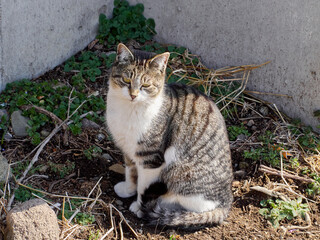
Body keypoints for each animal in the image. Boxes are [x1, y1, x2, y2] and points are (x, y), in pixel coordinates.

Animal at [106, 43, 234, 227]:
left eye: (145, 85)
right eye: (127, 80)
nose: (133, 95)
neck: (129, 110)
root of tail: (227, 202)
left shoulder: (150, 159)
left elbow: (143, 186)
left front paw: (139, 206)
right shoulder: (128, 149)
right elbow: (130, 173)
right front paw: (127, 189)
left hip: (180, 171)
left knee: (182, 202)